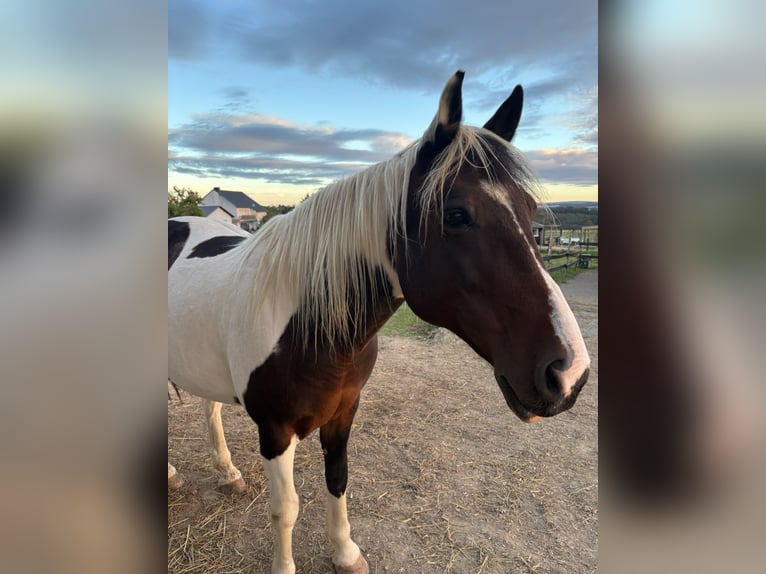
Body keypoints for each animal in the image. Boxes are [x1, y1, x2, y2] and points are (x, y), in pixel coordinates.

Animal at [168, 71, 590, 574]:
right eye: (457, 214)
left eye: (529, 210)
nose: (569, 373)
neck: (310, 328)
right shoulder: (275, 430)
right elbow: (285, 509)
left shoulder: (343, 411)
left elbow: (338, 479)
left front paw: (346, 553)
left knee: (209, 410)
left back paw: (227, 473)